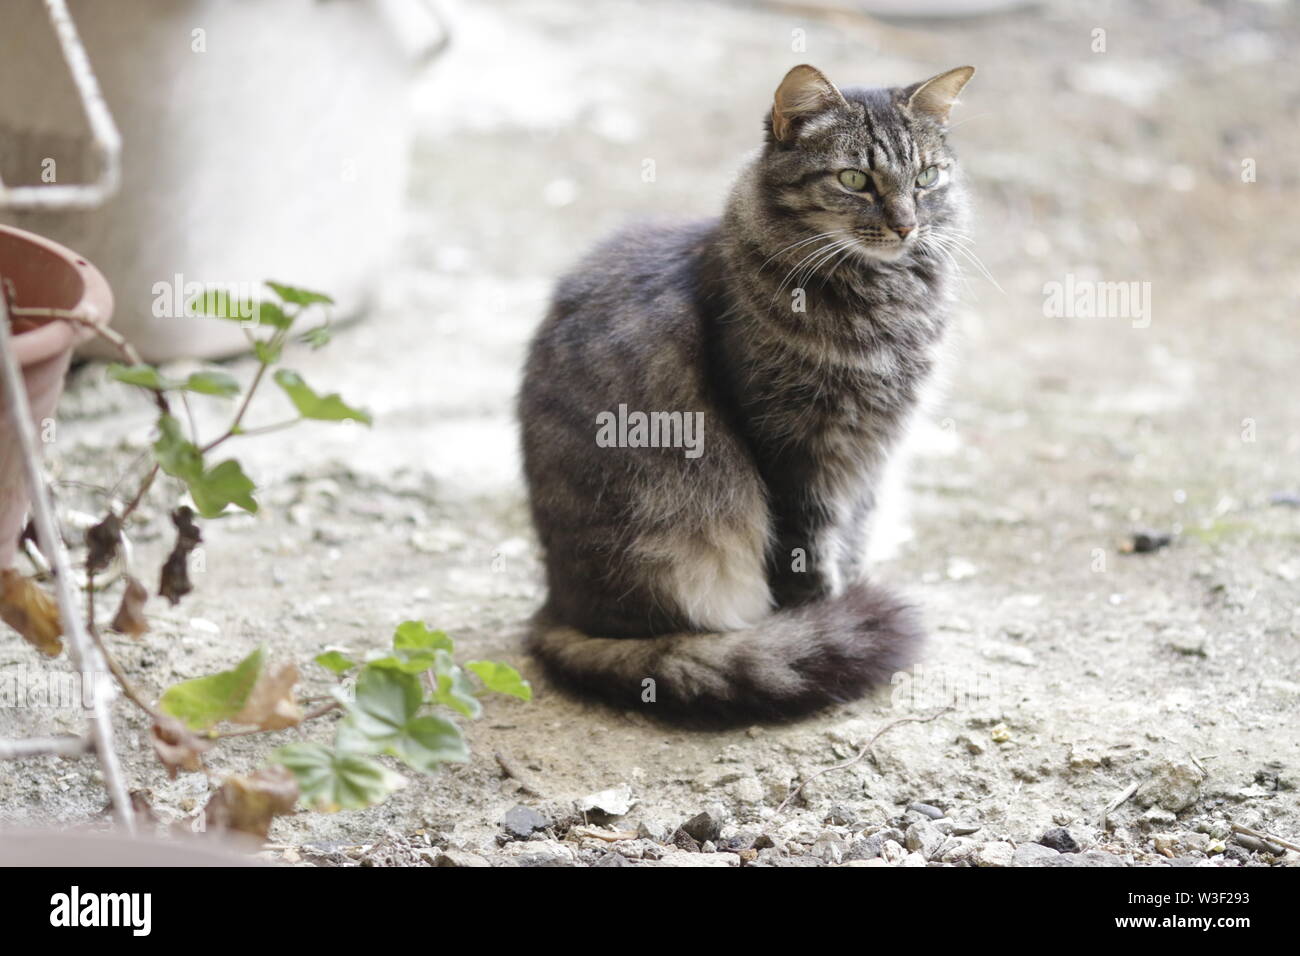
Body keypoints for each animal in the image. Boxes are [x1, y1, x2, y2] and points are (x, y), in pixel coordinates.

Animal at [517, 63, 977, 728]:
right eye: (855, 179)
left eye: (926, 178)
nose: (905, 225)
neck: (884, 302)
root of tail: (557, 607)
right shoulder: (792, 450)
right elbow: (807, 554)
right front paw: (820, 619)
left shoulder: (871, 453)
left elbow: (853, 539)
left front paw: (848, 594)